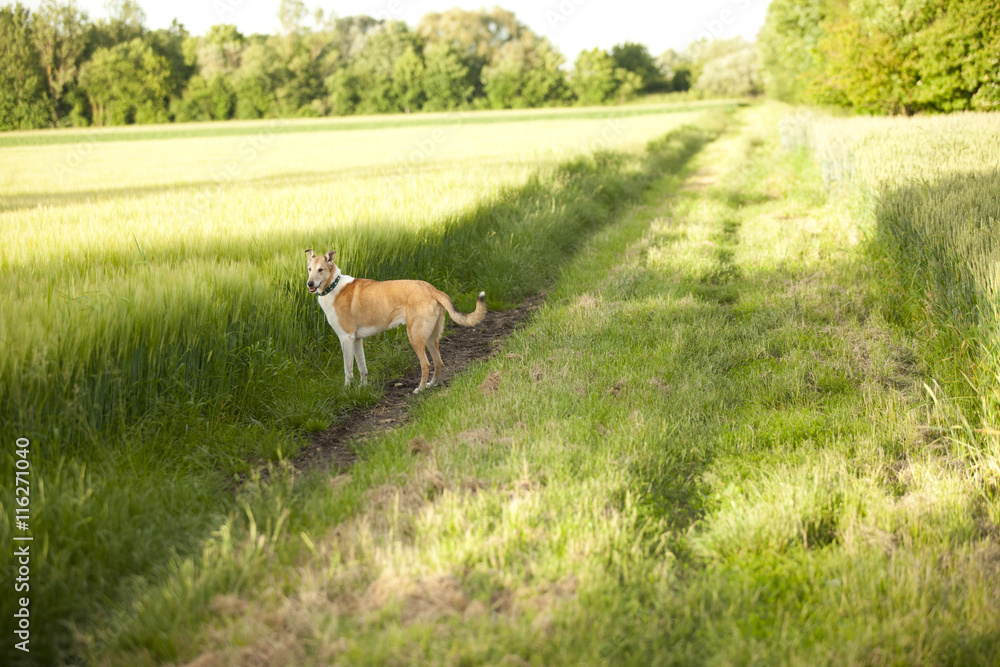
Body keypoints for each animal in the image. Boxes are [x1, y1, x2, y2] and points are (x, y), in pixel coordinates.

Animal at [305, 249, 486, 393]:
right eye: (309, 269)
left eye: (321, 270)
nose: (309, 283)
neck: (333, 286)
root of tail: (432, 289)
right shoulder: (356, 339)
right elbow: (362, 368)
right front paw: (362, 389)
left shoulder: (346, 339)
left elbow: (348, 369)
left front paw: (347, 391)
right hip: (430, 337)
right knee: (439, 362)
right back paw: (431, 385)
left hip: (415, 336)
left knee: (426, 364)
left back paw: (419, 389)